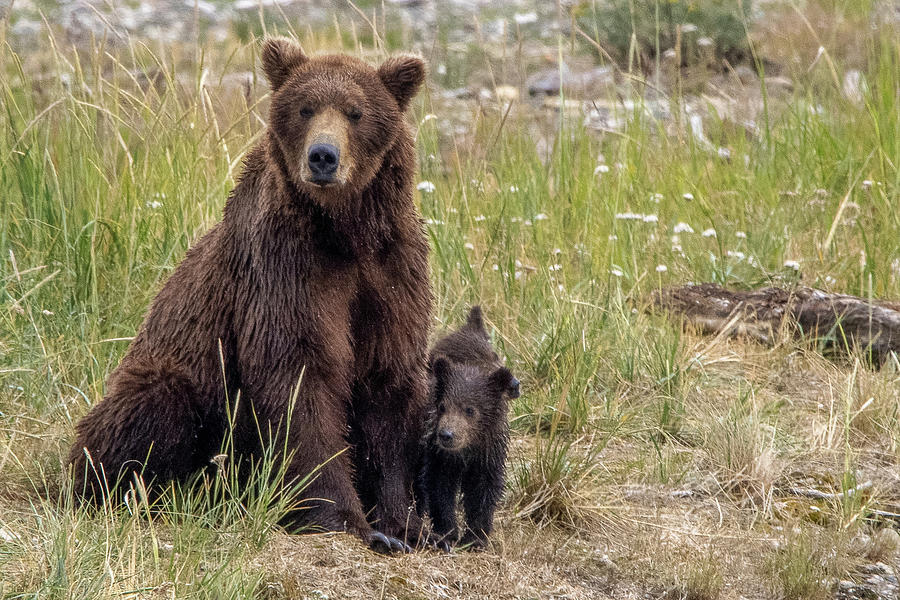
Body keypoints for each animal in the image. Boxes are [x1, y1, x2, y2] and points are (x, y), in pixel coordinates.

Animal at [69, 37, 432, 552]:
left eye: (356, 112)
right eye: (305, 108)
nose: (323, 156)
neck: (344, 233)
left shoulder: (391, 270)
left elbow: (389, 380)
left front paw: (403, 524)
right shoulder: (285, 268)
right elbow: (298, 373)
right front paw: (343, 518)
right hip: (173, 379)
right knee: (152, 410)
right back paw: (142, 493)